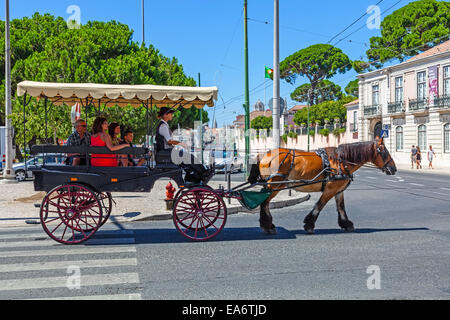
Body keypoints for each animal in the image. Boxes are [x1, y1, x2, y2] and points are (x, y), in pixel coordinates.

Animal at [248, 138, 396, 235]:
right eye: (384, 151)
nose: (393, 168)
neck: (340, 161)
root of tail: (264, 155)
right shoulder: (330, 189)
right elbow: (319, 205)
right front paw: (309, 224)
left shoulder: (338, 189)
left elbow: (341, 207)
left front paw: (346, 223)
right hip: (275, 185)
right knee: (265, 203)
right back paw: (268, 226)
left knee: (265, 203)